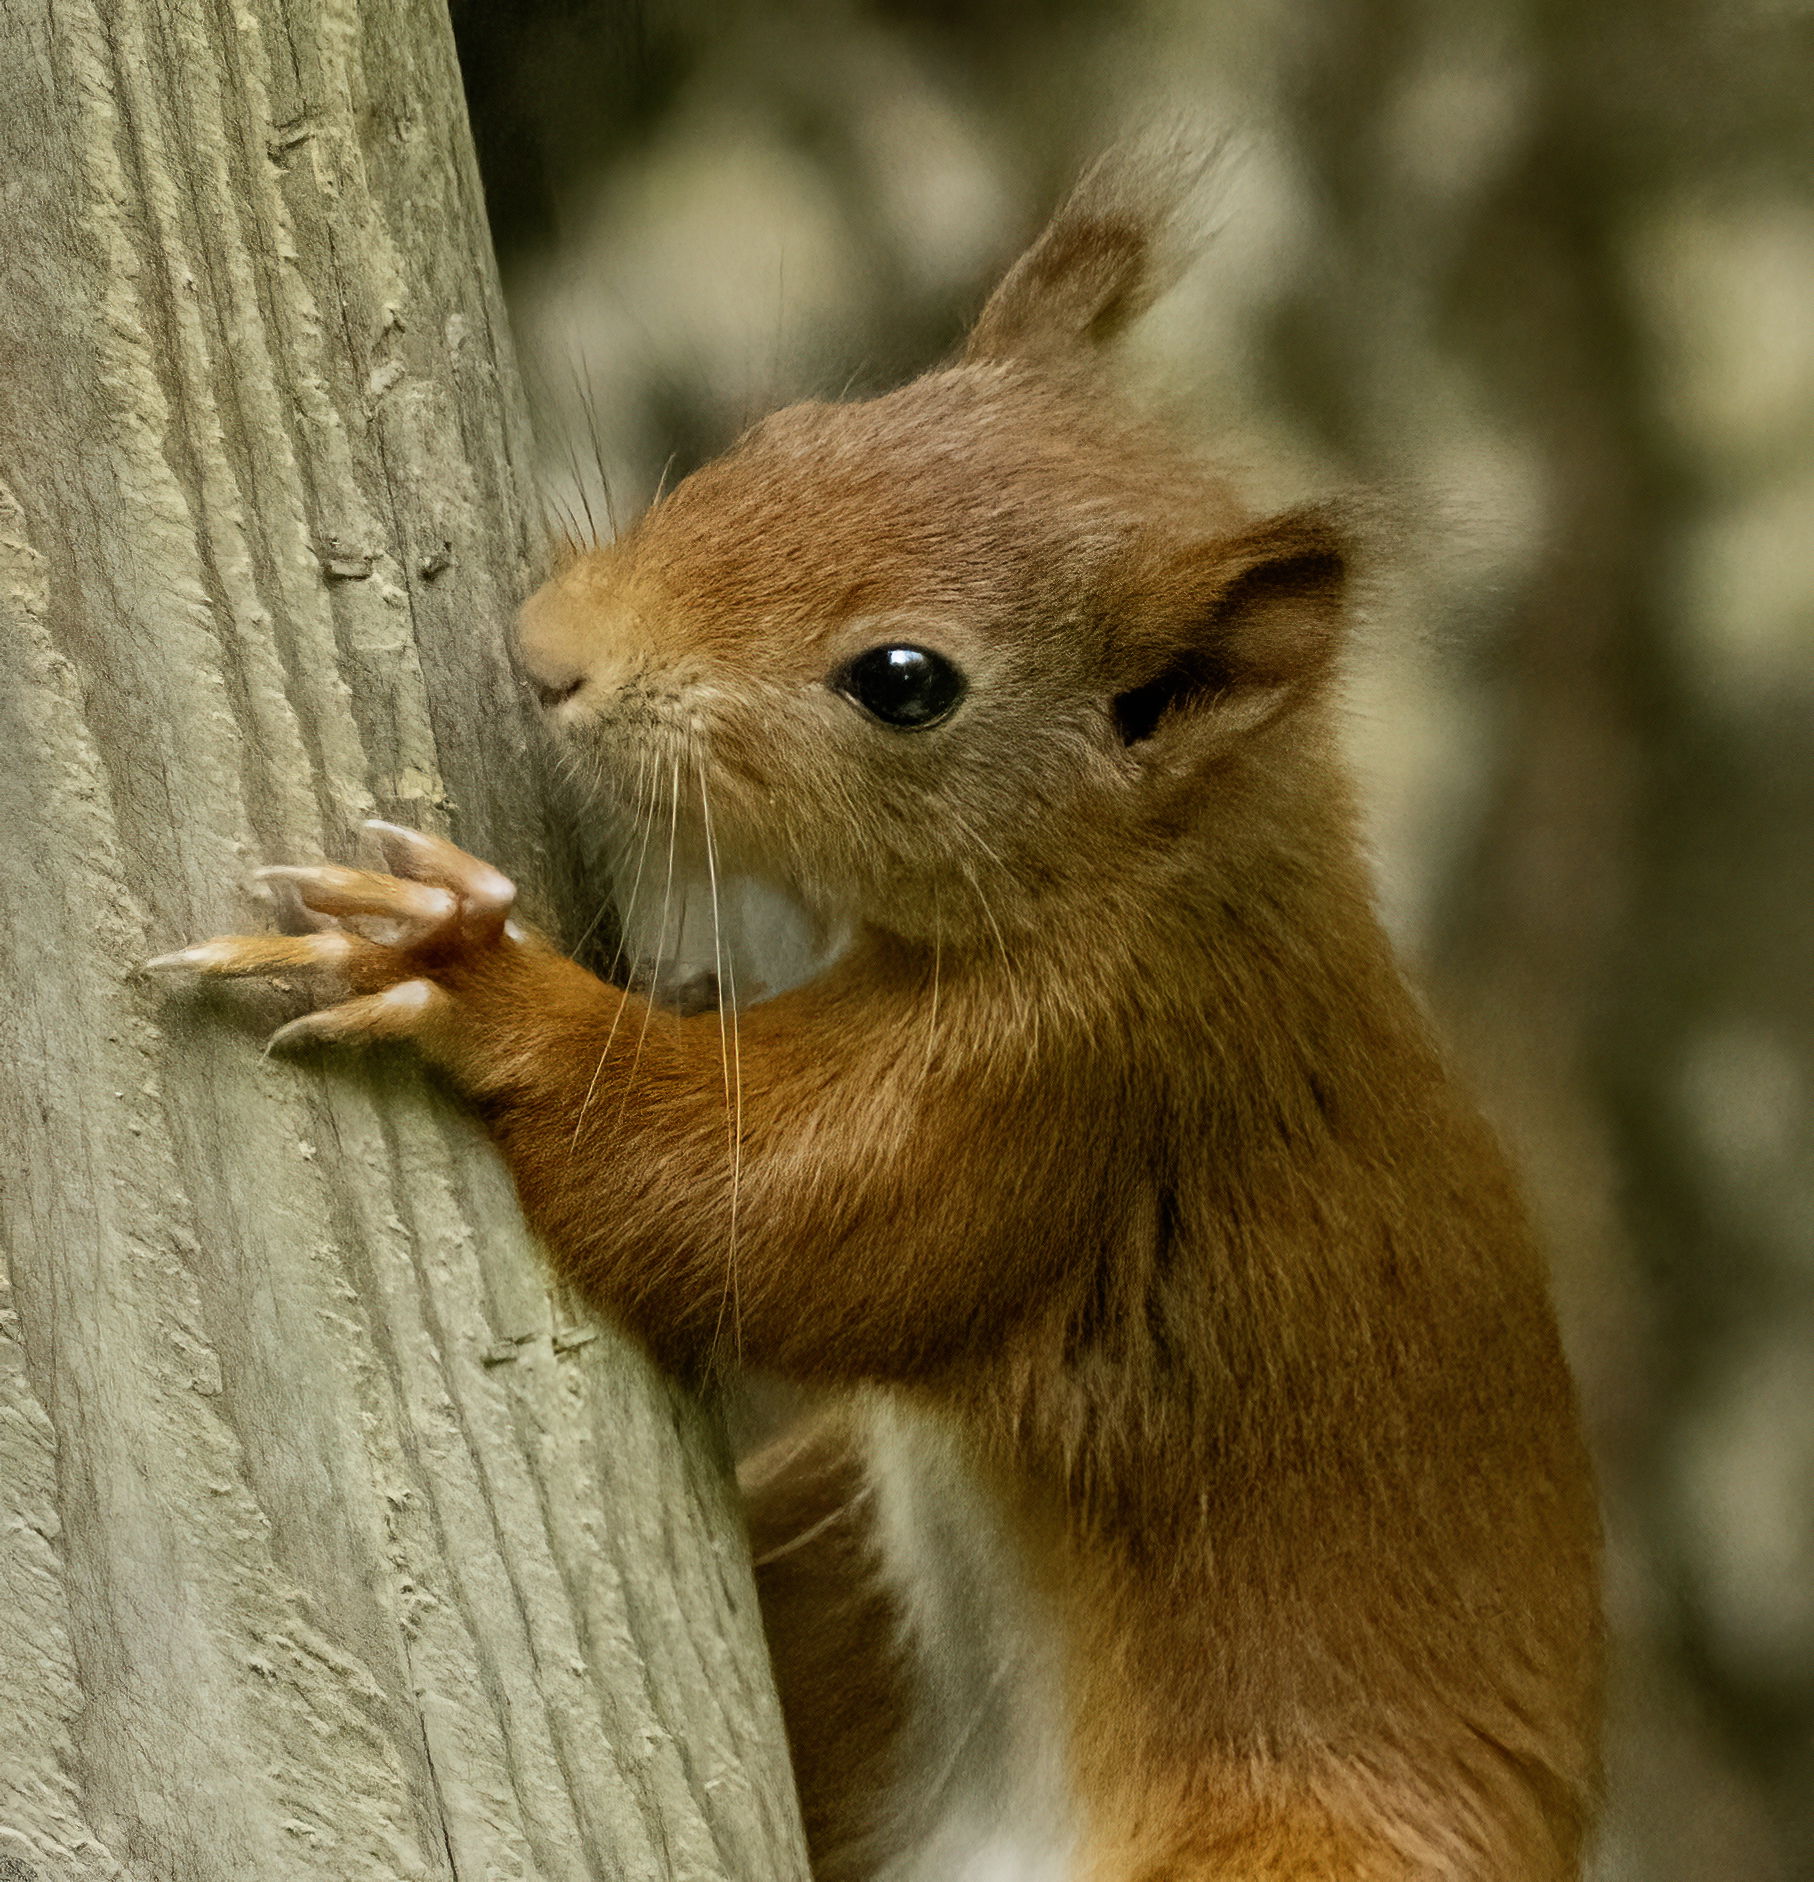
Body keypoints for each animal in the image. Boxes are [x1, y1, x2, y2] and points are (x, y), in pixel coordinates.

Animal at [156, 158, 1603, 1882]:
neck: (1165, 878)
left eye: (904, 680)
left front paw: (471, 971)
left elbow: (750, 1201)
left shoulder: (1076, 1089)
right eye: (793, 431)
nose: (550, 657)